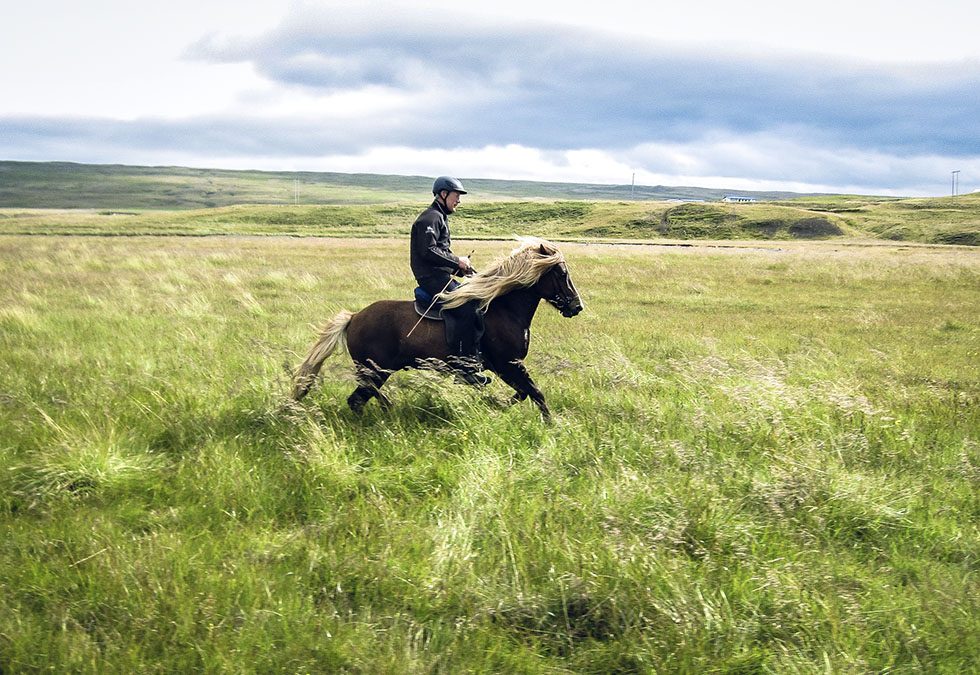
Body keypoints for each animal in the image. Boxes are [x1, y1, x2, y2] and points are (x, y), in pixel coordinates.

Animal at [290, 236, 580, 418]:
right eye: (562, 274)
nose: (577, 306)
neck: (503, 309)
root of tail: (354, 317)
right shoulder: (509, 365)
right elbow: (536, 393)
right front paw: (550, 425)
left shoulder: (507, 367)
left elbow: (523, 394)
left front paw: (497, 404)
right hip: (376, 369)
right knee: (361, 397)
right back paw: (385, 411)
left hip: (377, 370)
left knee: (359, 399)